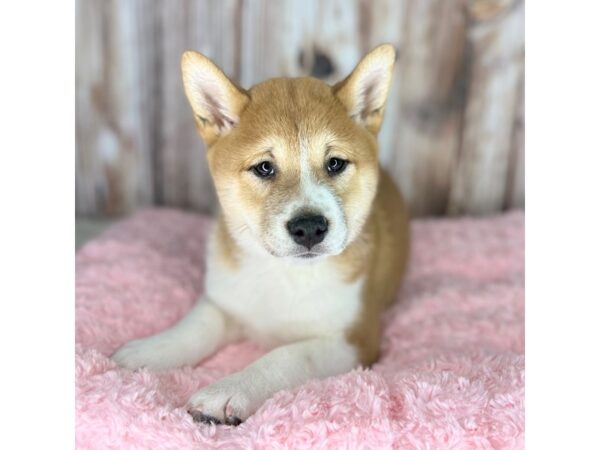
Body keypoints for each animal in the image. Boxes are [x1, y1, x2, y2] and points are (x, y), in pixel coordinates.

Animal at [113, 43, 408, 426]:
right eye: (264, 167)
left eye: (335, 163)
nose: (309, 227)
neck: (282, 274)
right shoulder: (225, 299)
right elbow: (197, 324)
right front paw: (150, 349)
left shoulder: (354, 339)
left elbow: (286, 357)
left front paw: (229, 390)